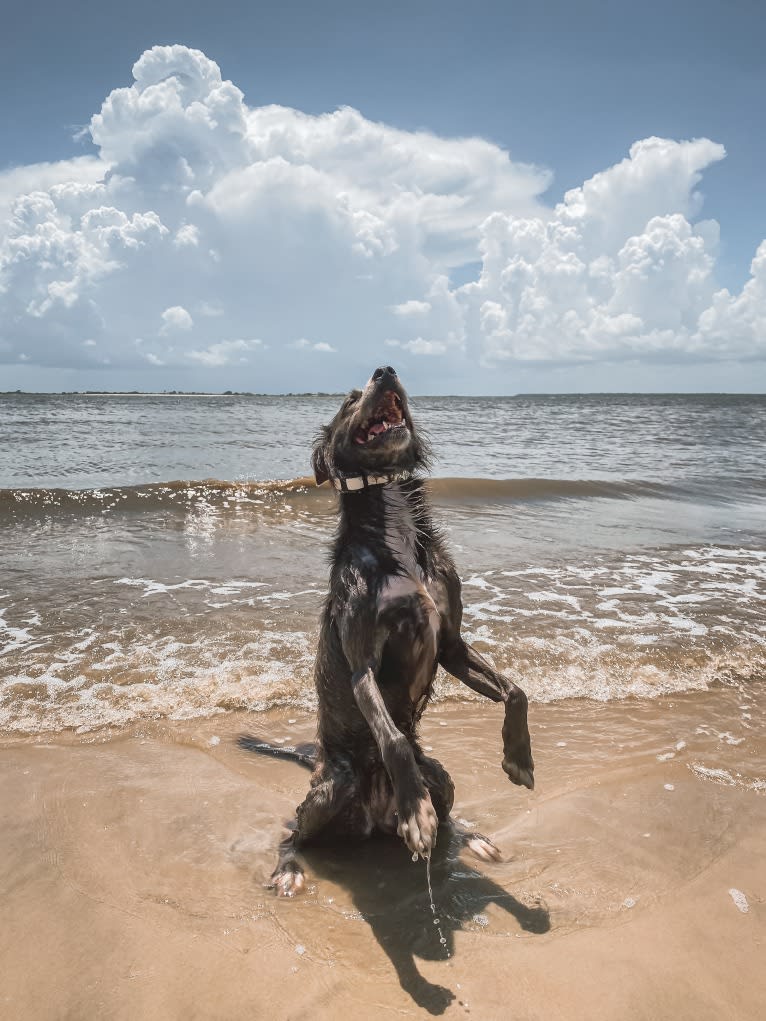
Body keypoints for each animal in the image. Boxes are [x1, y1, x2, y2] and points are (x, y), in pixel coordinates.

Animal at [249, 367, 535, 894]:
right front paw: (416, 815)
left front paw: (519, 760)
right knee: (293, 830)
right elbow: (395, 740)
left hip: (441, 774)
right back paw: (291, 867)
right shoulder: (363, 663)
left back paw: (471, 837)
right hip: (333, 789)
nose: (385, 371)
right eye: (349, 400)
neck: (396, 535)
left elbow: (516, 691)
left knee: (448, 810)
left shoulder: (451, 645)